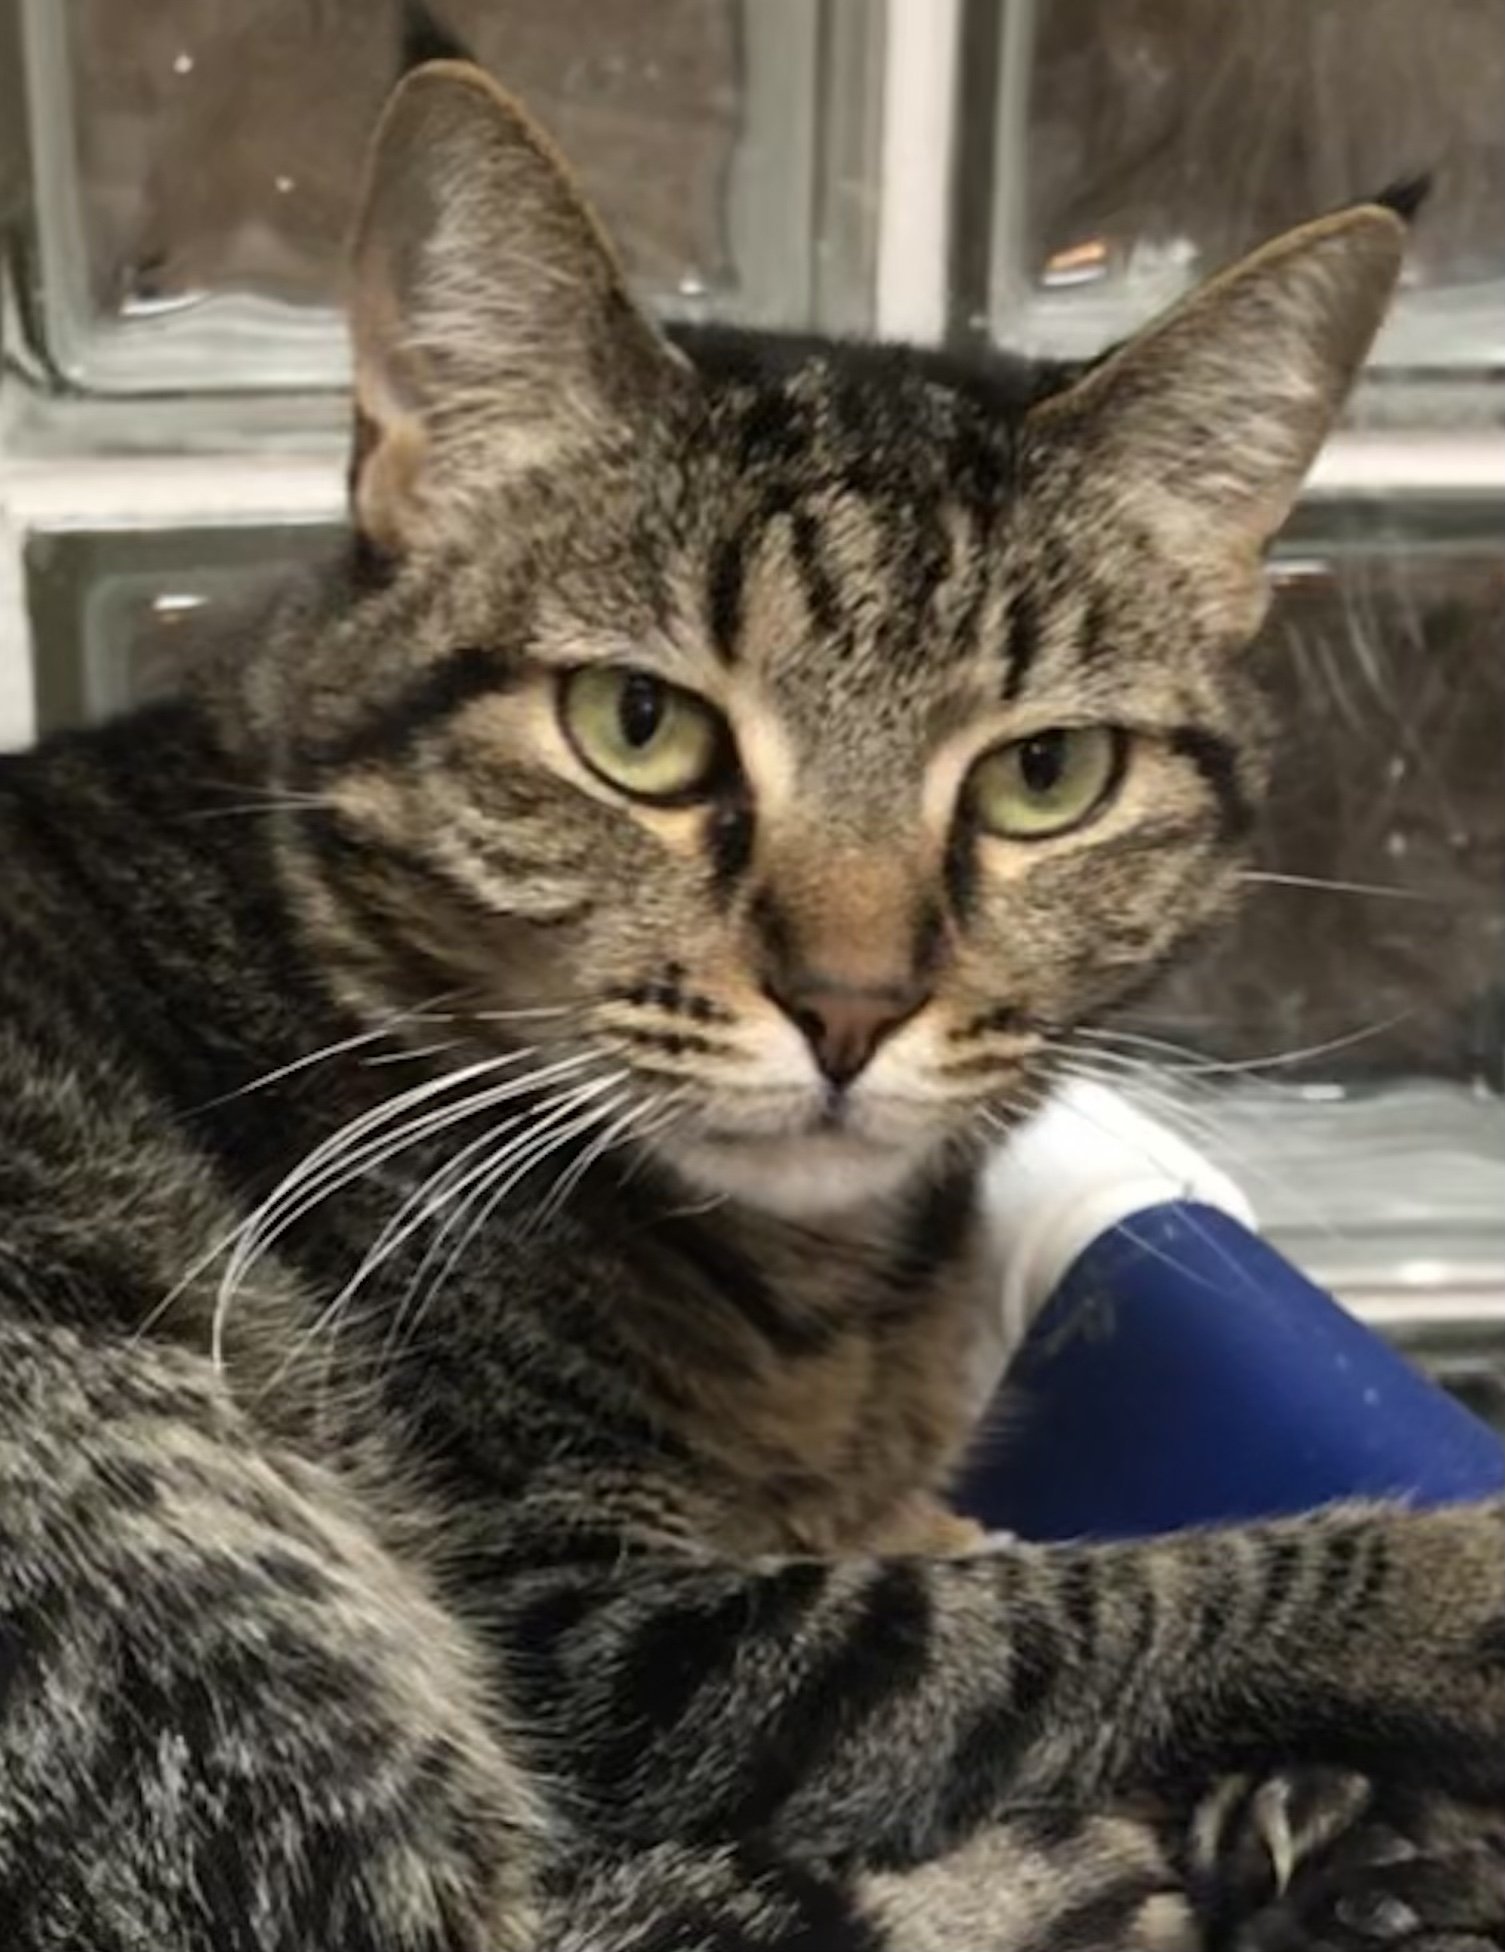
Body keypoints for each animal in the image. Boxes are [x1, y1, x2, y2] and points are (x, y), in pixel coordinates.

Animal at [0, 58, 1501, 1952]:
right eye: (636, 726)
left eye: (1047, 777)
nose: (850, 1004)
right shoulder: (600, 1631)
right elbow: (1069, 1617)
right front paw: (1453, 1601)